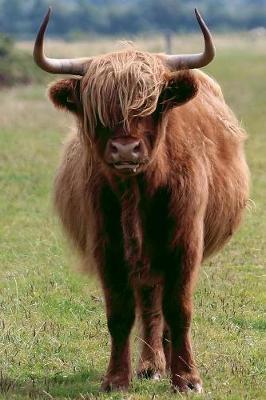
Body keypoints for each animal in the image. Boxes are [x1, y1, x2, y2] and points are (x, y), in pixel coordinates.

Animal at [33, 8, 249, 394]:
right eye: (98, 110)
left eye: (152, 105)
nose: (125, 149)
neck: (137, 191)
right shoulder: (107, 246)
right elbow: (119, 312)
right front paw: (117, 378)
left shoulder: (185, 243)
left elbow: (180, 309)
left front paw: (187, 379)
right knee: (149, 304)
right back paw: (150, 365)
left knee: (162, 306)